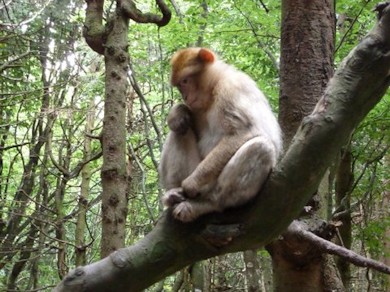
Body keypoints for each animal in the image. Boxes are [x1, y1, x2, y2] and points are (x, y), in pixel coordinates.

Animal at [159, 47, 284, 221]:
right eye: (178, 85)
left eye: (185, 81)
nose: (185, 97)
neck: (212, 91)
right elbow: (183, 121)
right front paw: (177, 113)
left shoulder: (231, 88)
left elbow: (243, 132)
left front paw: (191, 184)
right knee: (180, 130)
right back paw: (172, 194)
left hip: (209, 187)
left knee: (261, 146)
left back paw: (208, 203)